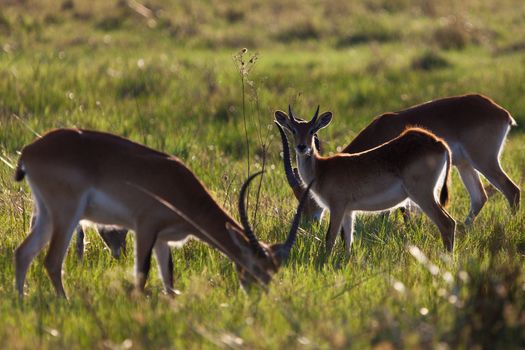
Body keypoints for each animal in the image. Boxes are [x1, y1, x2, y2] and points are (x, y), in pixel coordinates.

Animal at [12, 129, 310, 298]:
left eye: (274, 271)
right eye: (256, 268)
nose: (259, 298)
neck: (180, 189)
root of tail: (29, 150)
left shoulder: (164, 239)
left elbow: (169, 282)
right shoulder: (145, 228)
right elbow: (141, 276)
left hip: (46, 215)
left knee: (23, 253)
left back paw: (21, 301)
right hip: (66, 215)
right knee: (51, 261)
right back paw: (65, 303)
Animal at [274, 106, 454, 254]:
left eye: (312, 130)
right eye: (293, 129)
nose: (302, 147)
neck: (321, 169)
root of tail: (439, 143)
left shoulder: (337, 207)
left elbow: (330, 238)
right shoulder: (348, 211)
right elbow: (348, 241)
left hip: (422, 195)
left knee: (447, 223)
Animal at [280, 93, 516, 224]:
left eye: (308, 196)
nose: (309, 222)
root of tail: (502, 112)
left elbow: (399, 209)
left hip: (484, 161)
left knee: (511, 190)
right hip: (465, 165)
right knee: (479, 197)